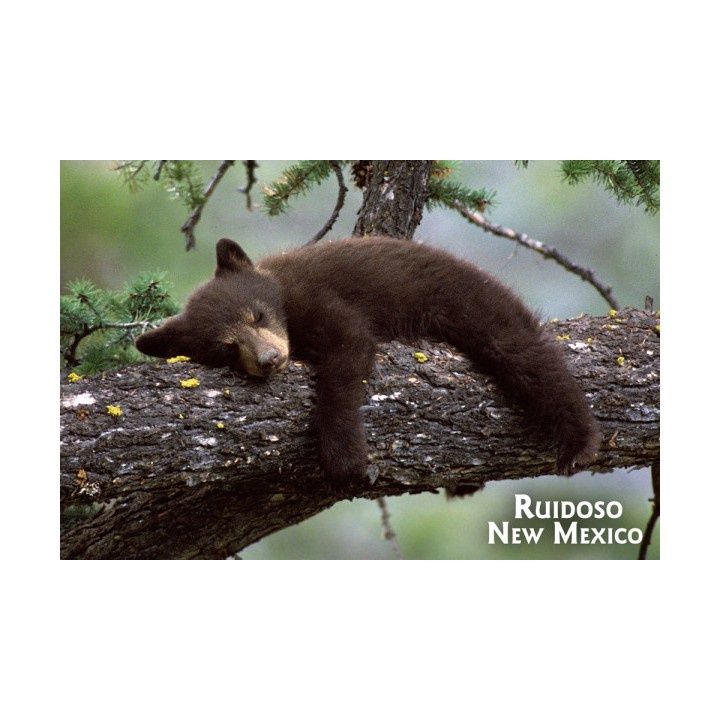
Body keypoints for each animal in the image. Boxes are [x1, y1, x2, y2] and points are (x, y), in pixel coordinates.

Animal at [136, 237, 601, 483]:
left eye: (258, 314)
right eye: (225, 348)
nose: (270, 359)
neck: (284, 298)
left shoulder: (317, 299)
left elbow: (348, 353)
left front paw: (345, 459)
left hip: (471, 303)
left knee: (526, 354)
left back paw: (578, 442)